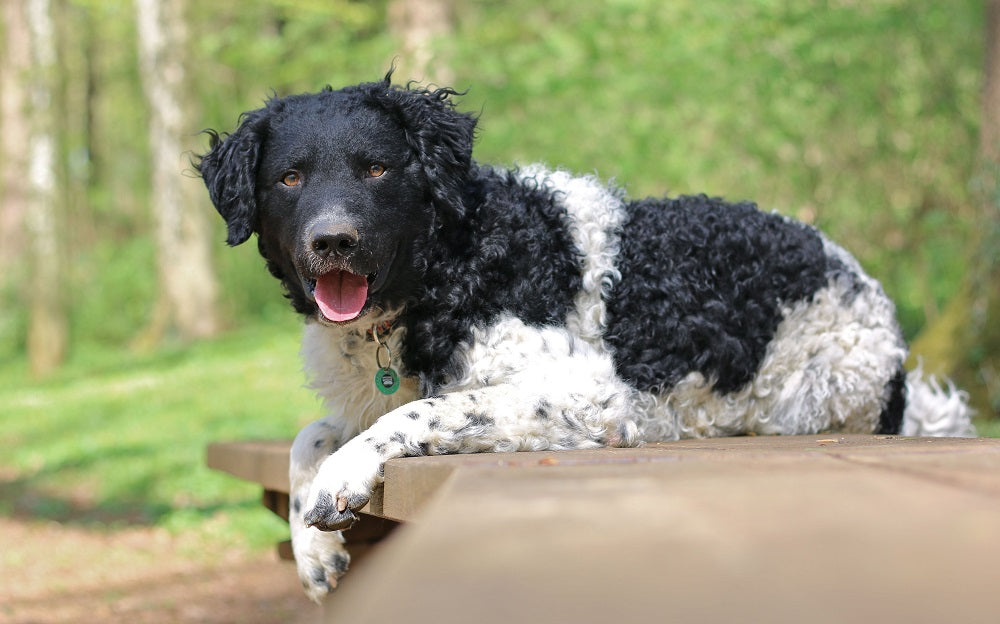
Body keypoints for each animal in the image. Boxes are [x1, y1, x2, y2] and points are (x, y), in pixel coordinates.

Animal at [193, 74, 968, 604]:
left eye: (377, 168)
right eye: (290, 177)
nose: (333, 241)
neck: (450, 268)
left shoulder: (589, 392)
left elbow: (425, 409)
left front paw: (346, 477)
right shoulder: (361, 398)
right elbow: (310, 437)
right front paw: (312, 548)